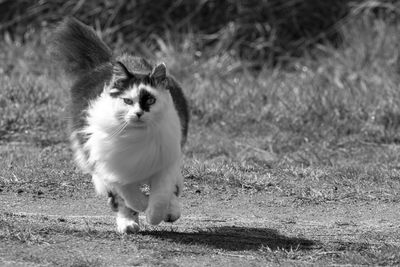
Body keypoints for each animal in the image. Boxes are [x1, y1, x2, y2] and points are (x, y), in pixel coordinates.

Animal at [50, 17, 189, 233]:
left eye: (150, 100)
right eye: (127, 101)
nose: (138, 113)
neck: (136, 137)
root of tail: (107, 62)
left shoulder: (164, 162)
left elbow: (161, 195)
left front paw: (155, 214)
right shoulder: (111, 168)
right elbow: (129, 195)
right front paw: (141, 207)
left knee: (174, 187)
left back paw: (171, 211)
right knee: (119, 200)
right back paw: (129, 224)